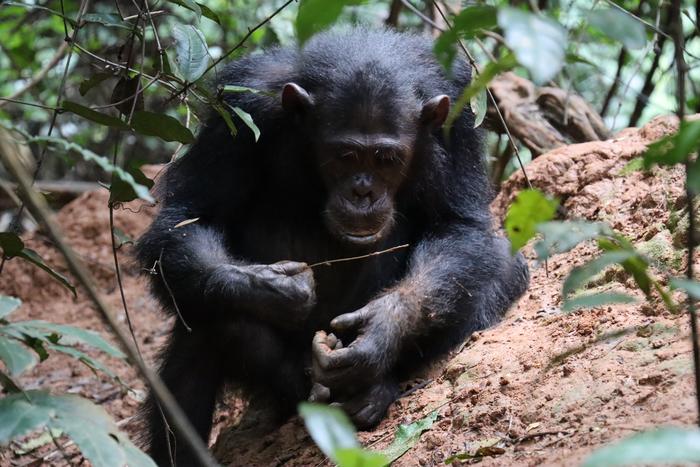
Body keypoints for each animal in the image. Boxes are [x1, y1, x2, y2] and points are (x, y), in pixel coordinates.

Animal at [137, 27, 528, 466]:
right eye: (345, 156)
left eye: (386, 159)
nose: (362, 193)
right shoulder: (238, 111)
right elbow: (189, 219)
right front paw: (272, 289)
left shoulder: (458, 114)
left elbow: (459, 226)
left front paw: (383, 327)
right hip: (288, 383)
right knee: (200, 327)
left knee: (501, 268)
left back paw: (371, 392)